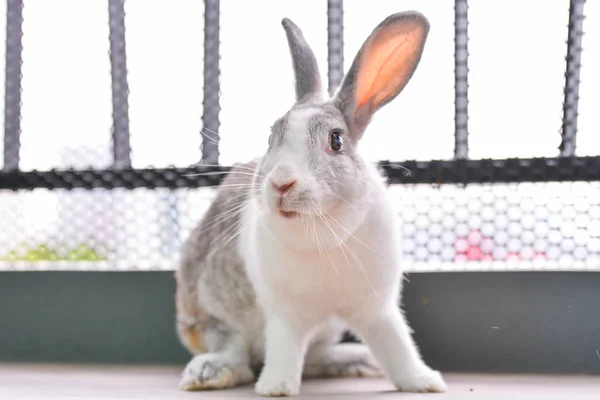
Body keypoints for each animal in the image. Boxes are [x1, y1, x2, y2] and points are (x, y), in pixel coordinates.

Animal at [173, 10, 446, 396]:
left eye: (336, 141)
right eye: (272, 136)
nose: (281, 183)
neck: (321, 230)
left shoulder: (377, 308)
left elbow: (396, 345)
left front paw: (424, 382)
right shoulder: (285, 314)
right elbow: (286, 348)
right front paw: (276, 387)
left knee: (316, 358)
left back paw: (357, 361)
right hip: (212, 313)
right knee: (236, 353)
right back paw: (210, 372)